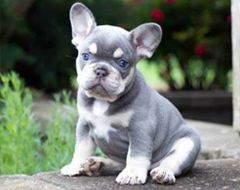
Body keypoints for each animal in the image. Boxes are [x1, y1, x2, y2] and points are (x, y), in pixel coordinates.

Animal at [60, 2, 201, 185]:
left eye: (122, 63)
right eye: (85, 56)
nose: (101, 70)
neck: (103, 101)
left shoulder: (140, 128)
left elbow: (136, 154)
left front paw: (132, 173)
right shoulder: (84, 125)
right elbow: (81, 148)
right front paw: (74, 165)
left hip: (187, 143)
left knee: (171, 161)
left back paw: (163, 173)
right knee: (120, 162)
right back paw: (97, 164)